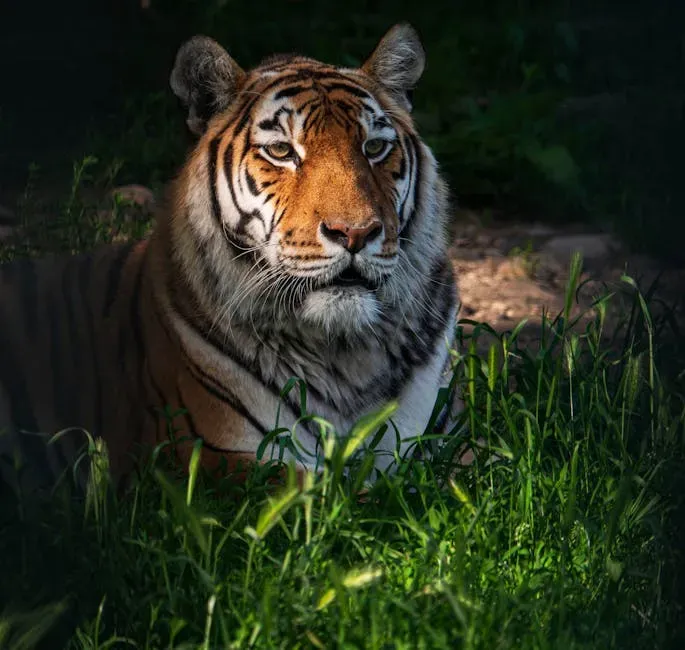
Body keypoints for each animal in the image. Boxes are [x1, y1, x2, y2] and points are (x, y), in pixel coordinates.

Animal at [0, 23, 460, 497]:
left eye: (374, 147)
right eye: (282, 151)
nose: (355, 232)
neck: (345, 357)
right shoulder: (196, 458)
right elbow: (337, 492)